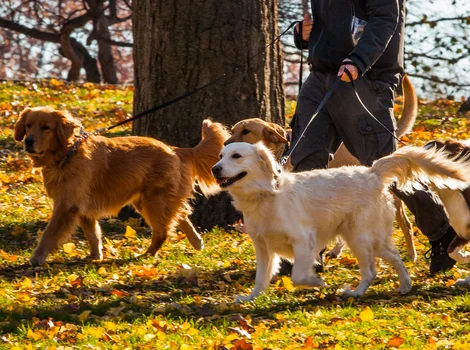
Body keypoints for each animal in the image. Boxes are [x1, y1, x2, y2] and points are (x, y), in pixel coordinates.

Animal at [13, 106, 229, 266]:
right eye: (28, 125)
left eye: (45, 127)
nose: (28, 141)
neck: (68, 153)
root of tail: (176, 150)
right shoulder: (83, 208)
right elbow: (93, 234)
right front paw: (96, 256)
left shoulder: (67, 205)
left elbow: (49, 234)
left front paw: (37, 258)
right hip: (147, 199)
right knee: (180, 214)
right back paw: (196, 241)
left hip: (153, 201)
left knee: (164, 231)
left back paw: (147, 254)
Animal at [213, 142, 470, 300]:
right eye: (220, 156)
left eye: (236, 156)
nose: (215, 169)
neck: (265, 195)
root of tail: (373, 172)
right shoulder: (263, 247)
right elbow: (260, 278)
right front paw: (250, 298)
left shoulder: (303, 240)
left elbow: (298, 275)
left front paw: (317, 282)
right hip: (369, 238)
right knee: (395, 258)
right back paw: (405, 286)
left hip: (360, 237)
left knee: (371, 271)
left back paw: (356, 293)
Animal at [227, 76, 418, 262]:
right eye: (233, 130)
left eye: (246, 131)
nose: (225, 144)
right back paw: (336, 250)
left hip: (389, 197)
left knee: (406, 224)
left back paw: (411, 254)